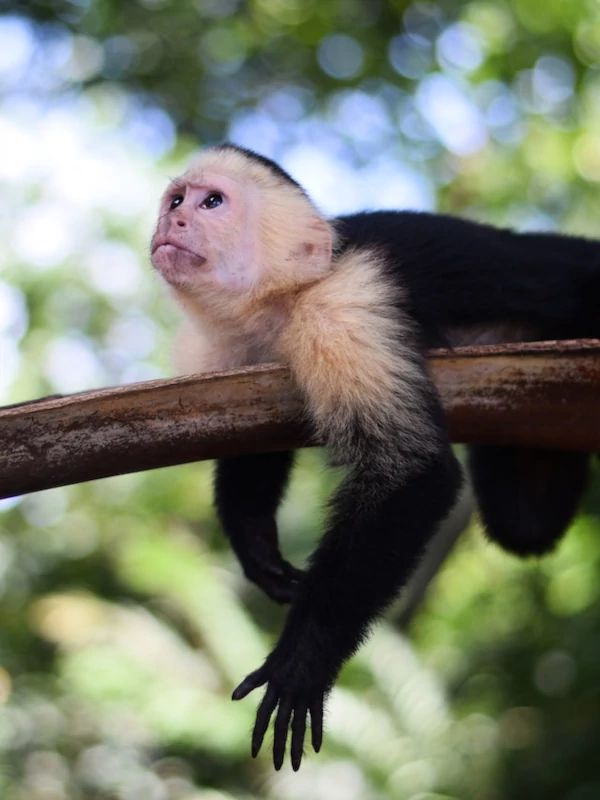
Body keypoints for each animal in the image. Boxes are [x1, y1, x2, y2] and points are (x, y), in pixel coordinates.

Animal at [150, 143, 599, 770]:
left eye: (212, 202)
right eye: (176, 200)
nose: (174, 222)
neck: (283, 302)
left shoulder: (340, 311)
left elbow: (414, 471)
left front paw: (303, 663)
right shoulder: (233, 354)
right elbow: (245, 440)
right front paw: (255, 543)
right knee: (525, 521)